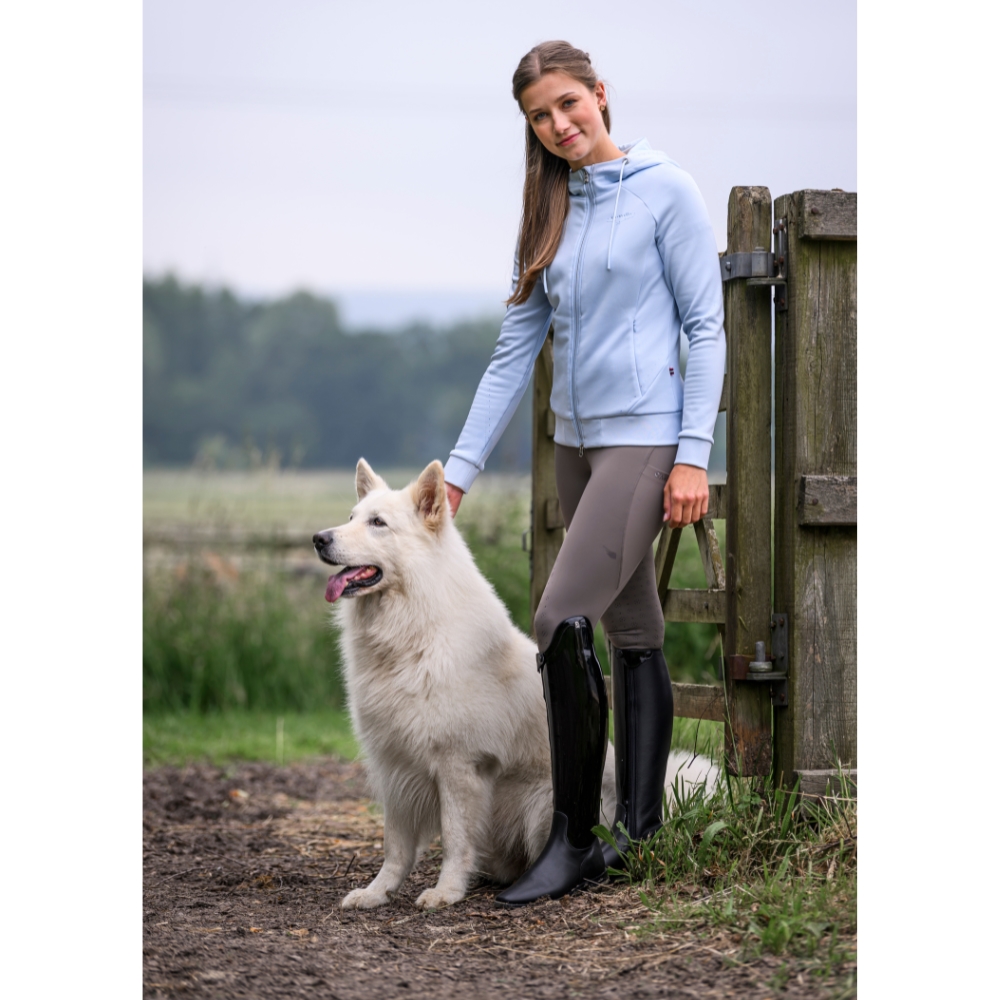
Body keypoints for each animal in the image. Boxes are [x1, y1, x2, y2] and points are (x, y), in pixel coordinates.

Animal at [312, 458, 718, 910]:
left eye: (378, 523)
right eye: (351, 517)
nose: (318, 539)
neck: (413, 630)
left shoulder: (459, 765)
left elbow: (455, 838)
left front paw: (446, 891)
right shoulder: (393, 766)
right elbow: (395, 847)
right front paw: (377, 892)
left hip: (542, 804)